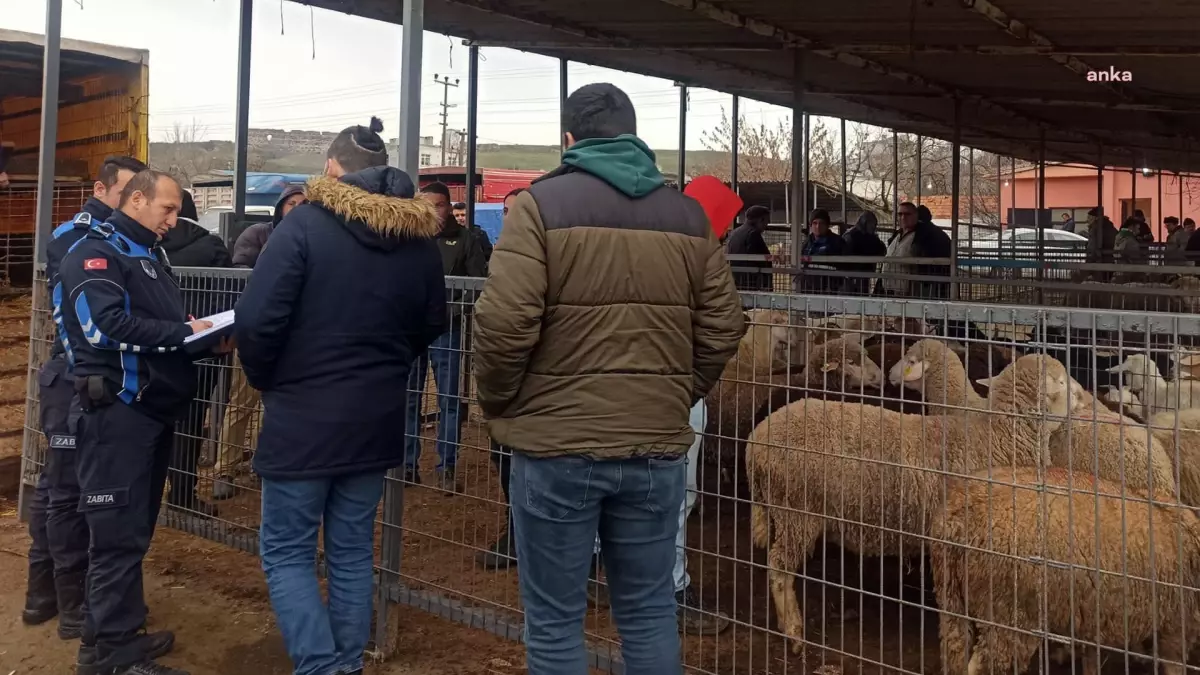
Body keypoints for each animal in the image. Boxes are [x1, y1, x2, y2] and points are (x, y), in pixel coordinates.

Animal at [739, 353, 1080, 653]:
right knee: (779, 568)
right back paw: (793, 631)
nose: (1083, 398)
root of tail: (755, 439)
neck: (997, 437)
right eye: (1063, 382)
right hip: (796, 510)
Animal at [931, 466, 1200, 672]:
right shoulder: (1176, 623)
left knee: (954, 656)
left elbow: (1091, 661)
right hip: (1009, 614)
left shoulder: (1095, 617)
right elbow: (1174, 665)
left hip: (950, 597)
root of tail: (959, 512)